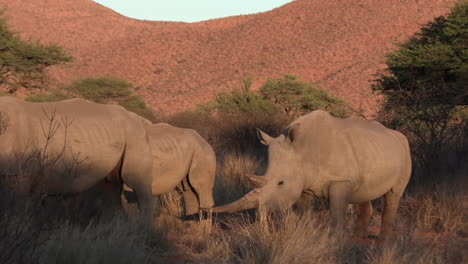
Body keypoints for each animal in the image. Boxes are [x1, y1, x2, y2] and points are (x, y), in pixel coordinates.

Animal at [0, 96, 155, 220]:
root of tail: (143, 120)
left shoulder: (16, 175)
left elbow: (16, 208)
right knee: (110, 186)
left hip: (135, 133)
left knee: (136, 183)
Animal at [214, 110, 412, 239]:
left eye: (281, 183)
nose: (263, 213)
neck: (302, 149)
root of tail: (396, 134)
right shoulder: (304, 183)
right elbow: (305, 211)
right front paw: (307, 232)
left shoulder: (340, 180)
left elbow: (336, 213)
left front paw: (337, 242)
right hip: (372, 151)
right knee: (364, 194)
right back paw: (358, 241)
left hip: (404, 150)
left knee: (394, 194)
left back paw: (383, 243)